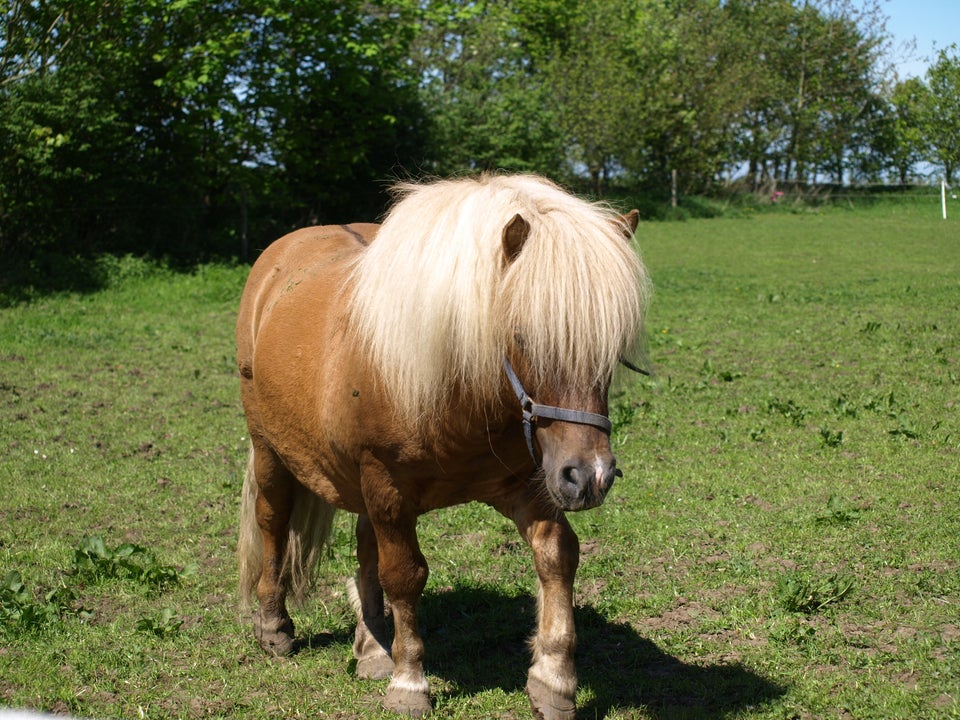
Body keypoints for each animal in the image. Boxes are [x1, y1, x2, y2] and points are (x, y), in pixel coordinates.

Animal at [236, 176, 648, 720]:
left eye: (613, 345)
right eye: (521, 335)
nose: (590, 477)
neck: (457, 390)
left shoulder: (527, 484)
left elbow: (557, 554)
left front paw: (554, 680)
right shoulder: (387, 484)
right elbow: (405, 576)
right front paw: (409, 683)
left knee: (365, 548)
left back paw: (372, 647)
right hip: (272, 452)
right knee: (274, 522)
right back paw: (274, 628)